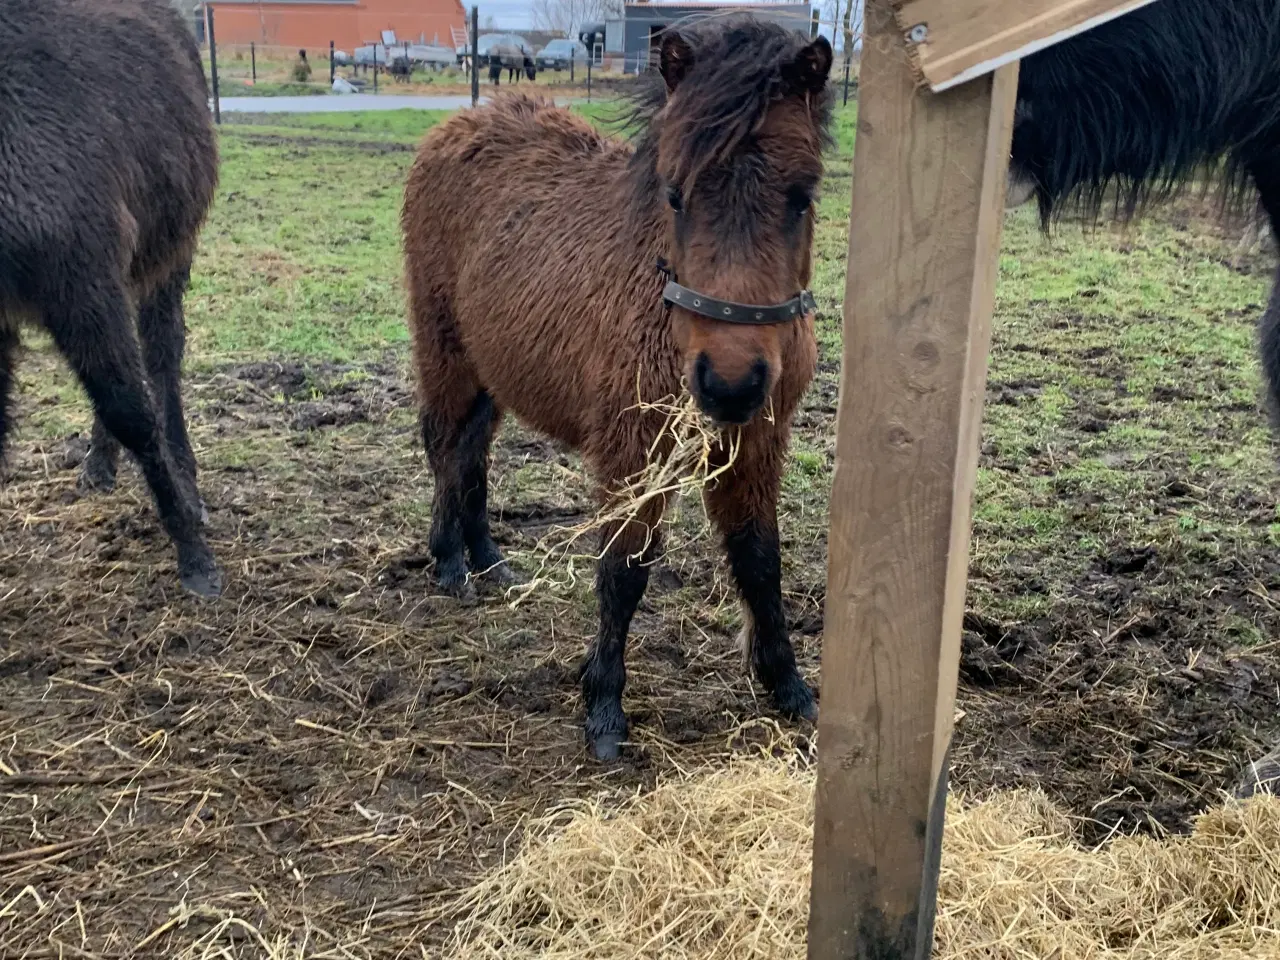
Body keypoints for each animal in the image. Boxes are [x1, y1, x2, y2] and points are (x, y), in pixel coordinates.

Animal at [0, 0, 220, 593]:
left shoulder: (86, 280)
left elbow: (132, 409)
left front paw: (193, 550)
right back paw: (99, 463)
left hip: (164, 258)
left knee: (160, 358)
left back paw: (185, 475)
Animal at [404, 16, 834, 757]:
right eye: (675, 194)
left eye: (802, 196)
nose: (728, 384)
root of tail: (458, 123)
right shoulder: (632, 451)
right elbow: (623, 571)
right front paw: (603, 707)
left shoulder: (754, 442)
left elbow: (760, 559)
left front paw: (789, 686)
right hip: (446, 353)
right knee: (445, 446)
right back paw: (450, 562)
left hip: (494, 367)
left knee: (473, 451)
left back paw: (488, 560)